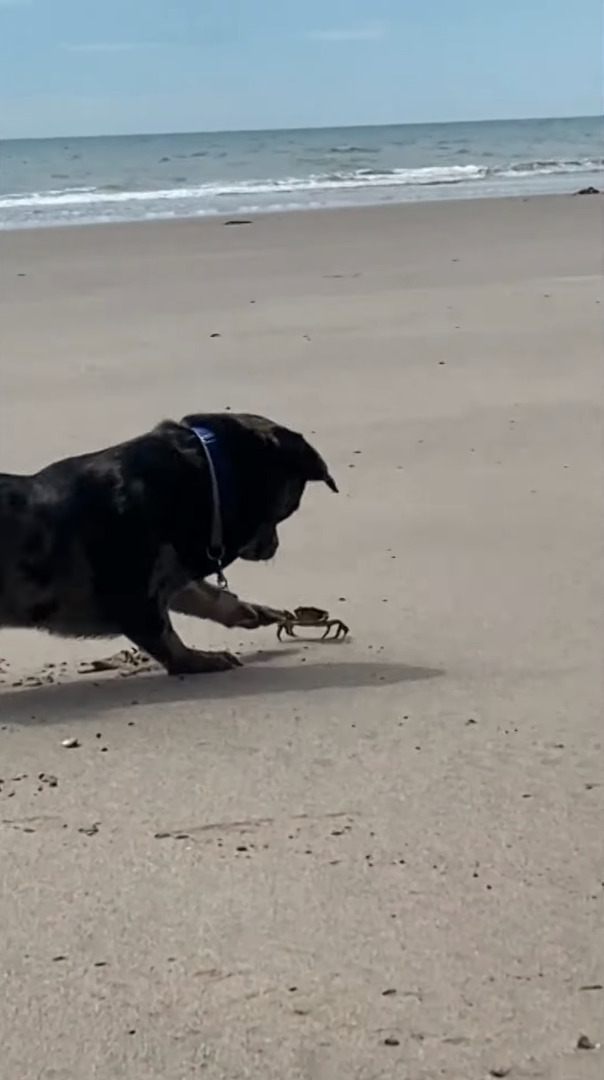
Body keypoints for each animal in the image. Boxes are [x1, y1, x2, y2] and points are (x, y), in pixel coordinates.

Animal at [0, 412, 337, 673]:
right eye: (289, 509)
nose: (274, 547)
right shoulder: (134, 592)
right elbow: (166, 636)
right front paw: (202, 659)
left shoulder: (169, 570)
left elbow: (204, 594)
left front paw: (254, 611)